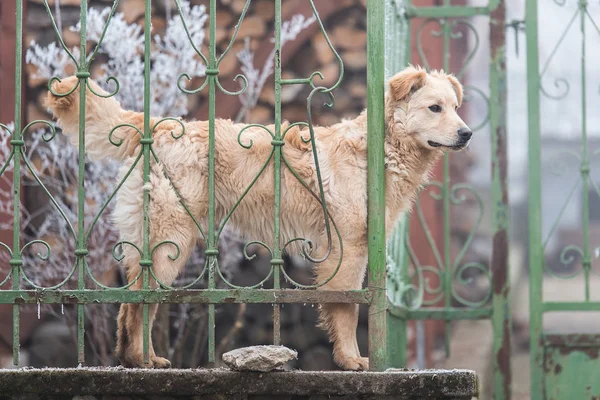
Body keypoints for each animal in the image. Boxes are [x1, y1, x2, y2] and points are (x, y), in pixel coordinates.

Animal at [45, 66, 468, 372]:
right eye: (435, 108)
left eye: (455, 107)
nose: (467, 134)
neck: (377, 150)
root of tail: (159, 126)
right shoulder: (347, 249)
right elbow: (346, 311)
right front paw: (350, 361)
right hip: (172, 242)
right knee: (140, 303)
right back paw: (141, 360)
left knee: (130, 303)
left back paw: (139, 359)